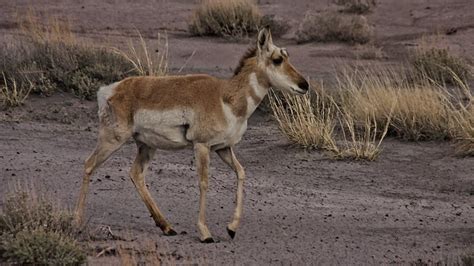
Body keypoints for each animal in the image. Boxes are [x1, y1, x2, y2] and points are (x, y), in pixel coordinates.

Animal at [75, 27, 308, 243]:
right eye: (277, 59)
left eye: (287, 56)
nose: (304, 85)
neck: (225, 98)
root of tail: (112, 89)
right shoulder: (202, 146)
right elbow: (204, 182)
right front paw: (205, 233)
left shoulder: (223, 148)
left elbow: (241, 173)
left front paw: (231, 228)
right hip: (112, 140)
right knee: (88, 165)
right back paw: (78, 222)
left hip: (147, 146)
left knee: (136, 174)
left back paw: (167, 227)